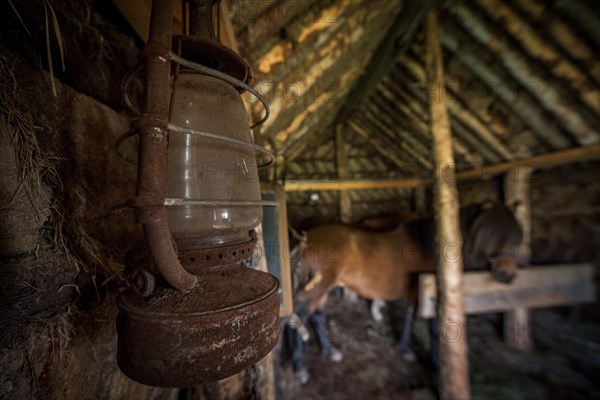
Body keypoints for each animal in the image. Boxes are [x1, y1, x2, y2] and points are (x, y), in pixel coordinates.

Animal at [284, 202, 524, 382]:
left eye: (517, 236)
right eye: (493, 234)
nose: (507, 274)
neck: (431, 246)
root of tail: (306, 240)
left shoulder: (417, 293)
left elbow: (410, 316)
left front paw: (405, 349)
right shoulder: (432, 295)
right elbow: (434, 328)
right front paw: (435, 363)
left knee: (315, 316)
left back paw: (329, 351)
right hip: (318, 287)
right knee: (300, 315)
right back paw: (299, 367)